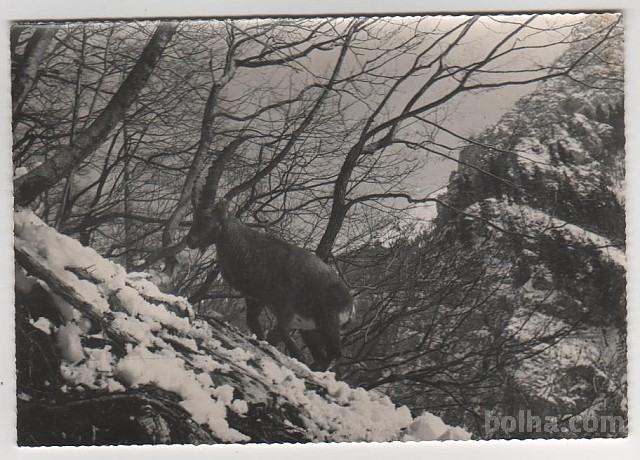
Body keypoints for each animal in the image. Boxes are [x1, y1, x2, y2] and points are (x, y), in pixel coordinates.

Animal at [185, 198, 354, 371]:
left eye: (208, 218)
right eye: (195, 216)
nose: (189, 240)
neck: (252, 251)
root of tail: (350, 305)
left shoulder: (284, 305)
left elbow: (280, 330)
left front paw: (298, 355)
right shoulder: (255, 299)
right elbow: (254, 324)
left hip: (328, 321)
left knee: (335, 352)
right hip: (310, 329)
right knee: (321, 354)